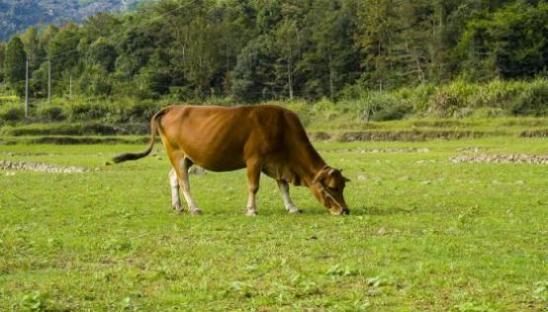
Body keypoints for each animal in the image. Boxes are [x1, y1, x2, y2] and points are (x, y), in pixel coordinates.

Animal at [113, 104, 348, 214]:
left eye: (342, 187)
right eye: (331, 188)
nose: (344, 210)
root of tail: (170, 108)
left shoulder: (277, 162)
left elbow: (284, 187)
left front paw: (292, 207)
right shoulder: (254, 159)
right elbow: (253, 186)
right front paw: (251, 209)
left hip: (187, 157)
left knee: (173, 177)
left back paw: (178, 207)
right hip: (176, 153)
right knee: (183, 181)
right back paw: (194, 208)